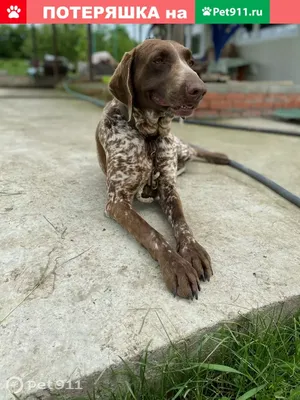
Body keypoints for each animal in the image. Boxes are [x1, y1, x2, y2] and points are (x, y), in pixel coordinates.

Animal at [95, 38, 229, 300]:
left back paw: (221, 156)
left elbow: (182, 222)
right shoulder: (117, 201)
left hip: (182, 150)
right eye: (158, 60)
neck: (148, 136)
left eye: (191, 61)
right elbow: (151, 233)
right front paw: (176, 266)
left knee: (194, 149)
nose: (200, 90)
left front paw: (193, 250)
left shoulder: (168, 188)